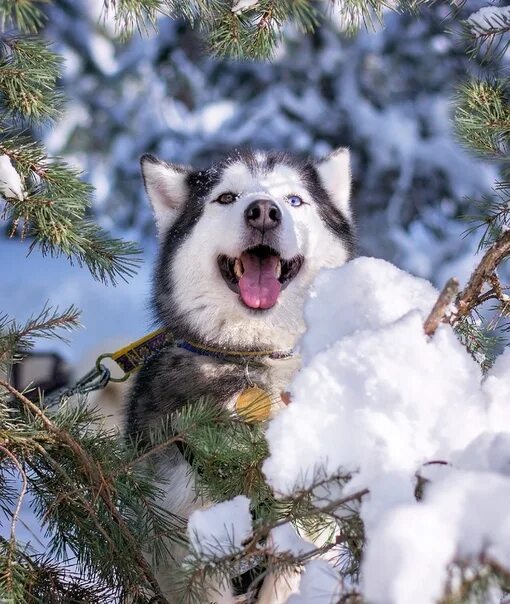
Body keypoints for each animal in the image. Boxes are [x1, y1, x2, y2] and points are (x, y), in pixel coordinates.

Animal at [125, 149, 354, 600]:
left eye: (294, 200)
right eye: (226, 197)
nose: (263, 211)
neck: (253, 357)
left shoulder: (298, 526)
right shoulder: (187, 540)